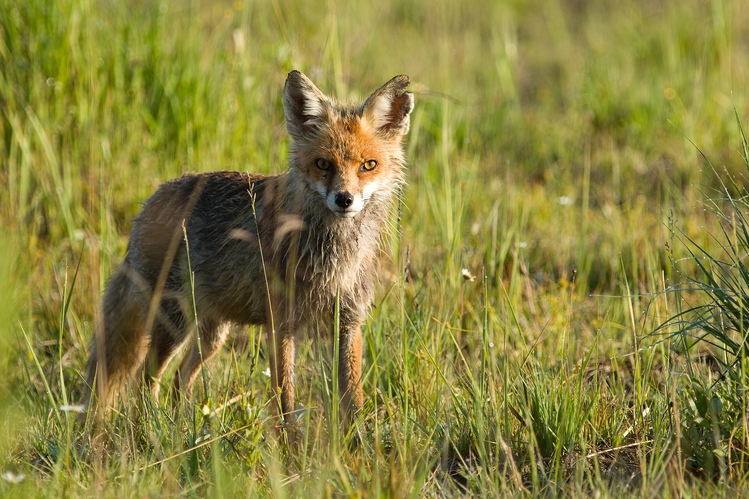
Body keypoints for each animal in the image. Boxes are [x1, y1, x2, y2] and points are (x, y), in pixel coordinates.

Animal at [82, 68, 414, 432]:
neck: (334, 258)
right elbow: (285, 403)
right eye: (323, 164)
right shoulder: (281, 324)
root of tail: (155, 195)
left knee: (178, 381)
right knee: (146, 380)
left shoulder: (349, 322)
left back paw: (182, 430)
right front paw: (291, 446)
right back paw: (153, 432)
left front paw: (357, 443)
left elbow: (353, 402)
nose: (344, 200)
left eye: (369, 165)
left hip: (213, 334)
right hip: (175, 322)